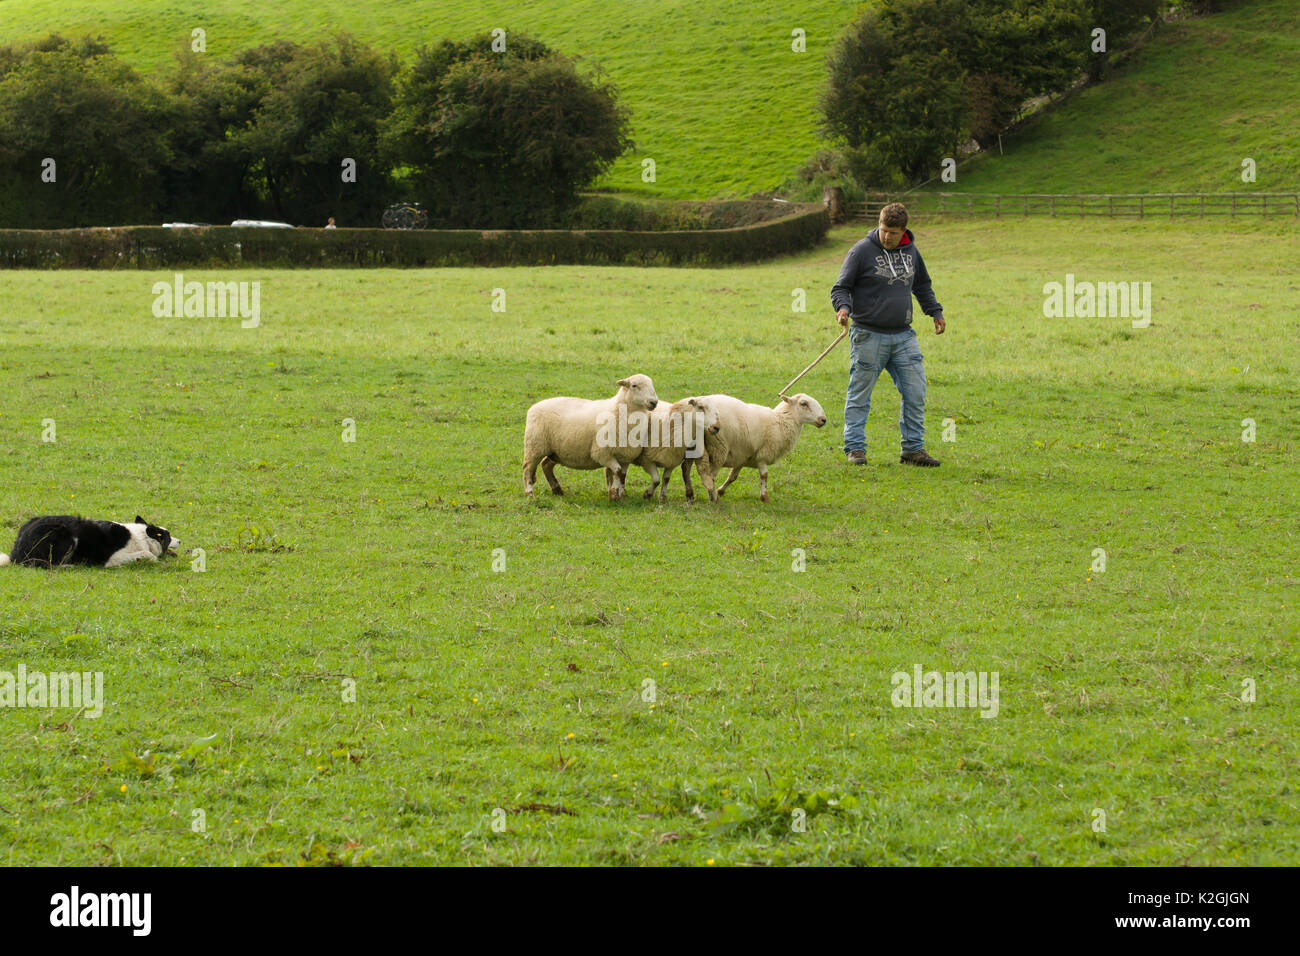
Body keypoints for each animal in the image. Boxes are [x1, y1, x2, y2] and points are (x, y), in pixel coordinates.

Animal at [522, 374, 660, 502]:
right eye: (634, 386)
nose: (654, 402)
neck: (617, 410)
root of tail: (534, 406)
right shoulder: (602, 453)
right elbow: (618, 472)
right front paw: (614, 495)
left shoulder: (625, 455)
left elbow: (622, 475)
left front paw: (619, 495)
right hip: (535, 446)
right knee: (527, 469)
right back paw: (530, 494)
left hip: (556, 451)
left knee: (546, 465)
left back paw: (557, 490)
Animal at [691, 392, 821, 504]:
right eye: (803, 403)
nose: (823, 420)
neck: (781, 422)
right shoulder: (763, 455)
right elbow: (764, 476)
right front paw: (765, 498)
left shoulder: (741, 458)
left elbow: (733, 477)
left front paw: (721, 490)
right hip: (719, 449)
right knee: (711, 476)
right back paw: (714, 499)